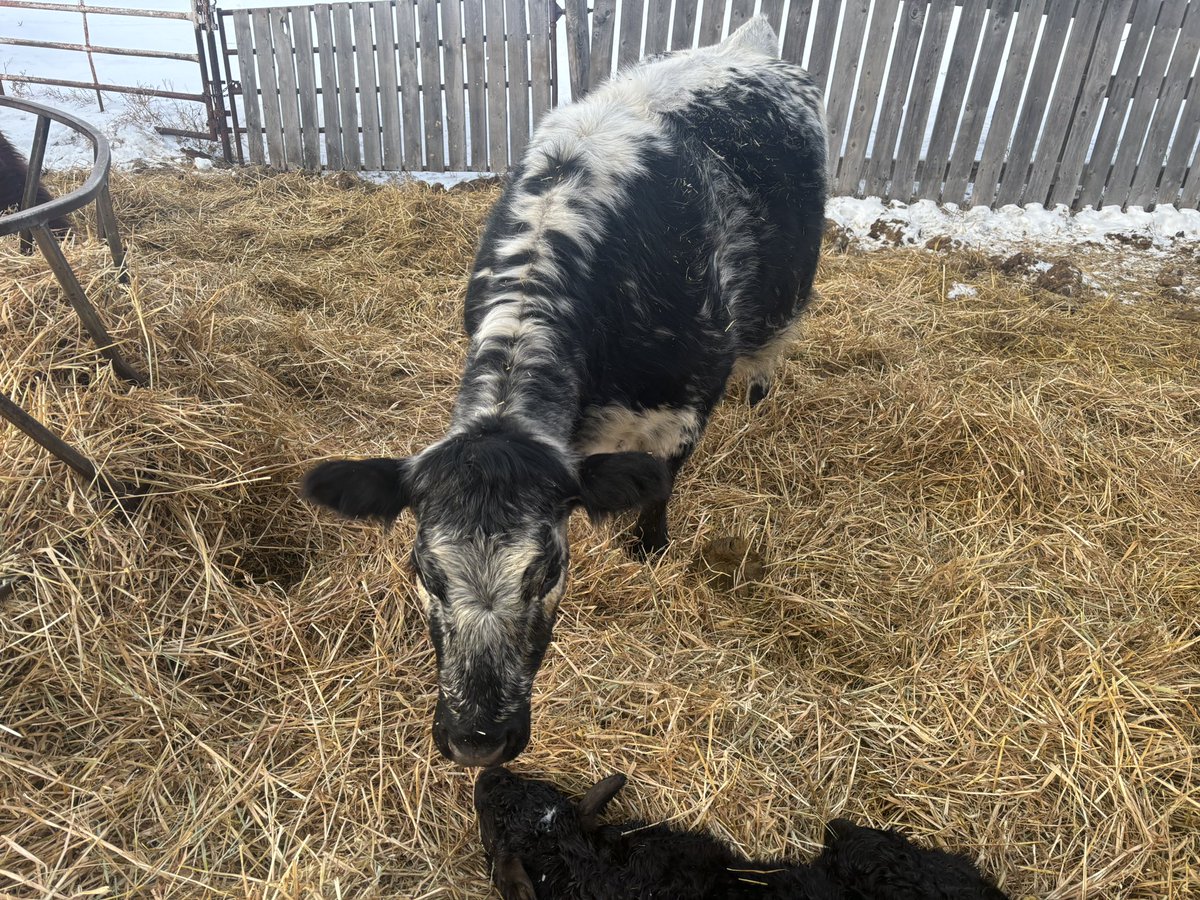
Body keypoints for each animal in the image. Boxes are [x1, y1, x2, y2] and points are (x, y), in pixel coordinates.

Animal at [303, 16, 828, 767]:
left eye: (546, 570)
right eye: (426, 572)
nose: (478, 740)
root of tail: (745, 43)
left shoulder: (686, 403)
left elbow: (659, 486)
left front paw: (648, 550)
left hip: (785, 299)